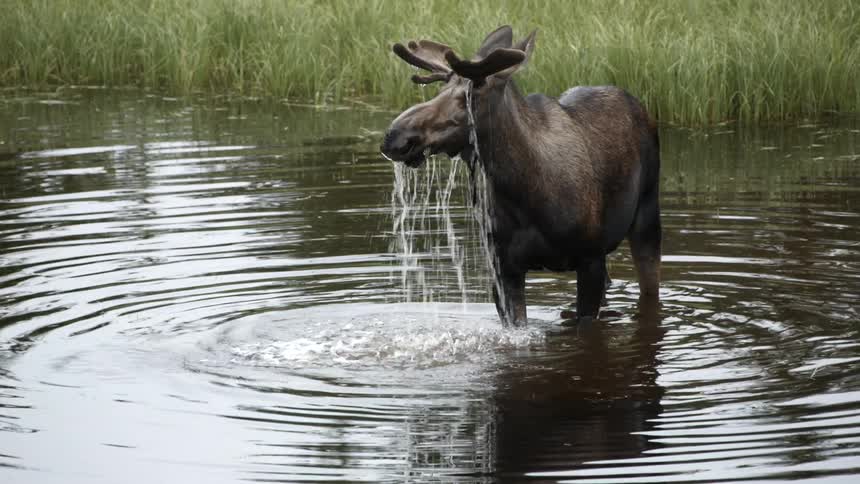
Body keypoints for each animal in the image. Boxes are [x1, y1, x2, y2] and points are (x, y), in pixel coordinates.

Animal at [380, 26, 661, 326]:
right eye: (441, 88)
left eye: (473, 91)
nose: (396, 135)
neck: (524, 193)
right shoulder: (504, 268)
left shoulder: (589, 259)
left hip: (646, 215)